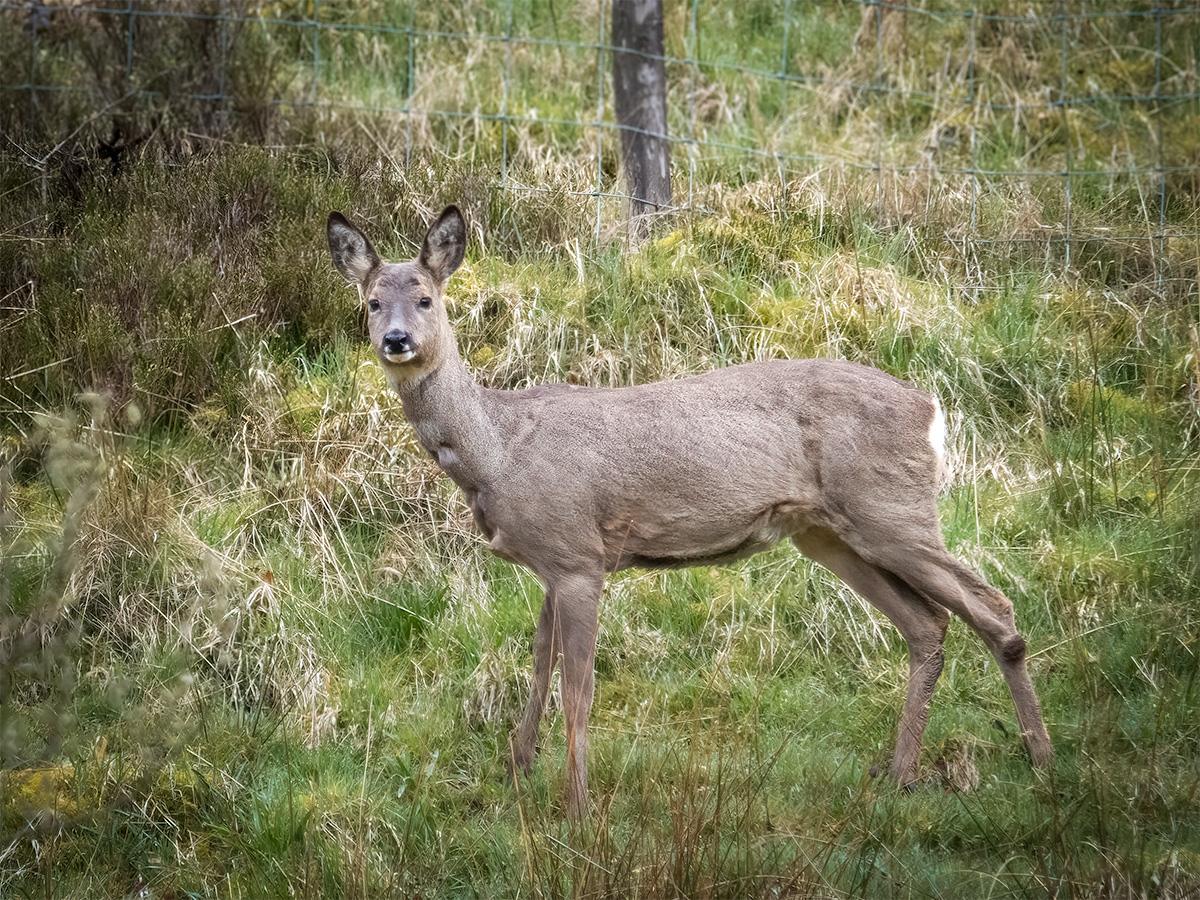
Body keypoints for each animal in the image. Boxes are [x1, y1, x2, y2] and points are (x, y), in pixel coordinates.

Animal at [326, 205, 1053, 819]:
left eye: (426, 298)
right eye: (371, 301)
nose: (396, 340)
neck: (498, 450)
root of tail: (932, 410)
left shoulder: (578, 556)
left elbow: (577, 688)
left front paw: (577, 808)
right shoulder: (551, 562)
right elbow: (537, 668)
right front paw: (519, 773)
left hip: (891, 510)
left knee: (993, 608)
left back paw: (1040, 757)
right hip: (829, 533)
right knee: (928, 625)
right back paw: (900, 775)